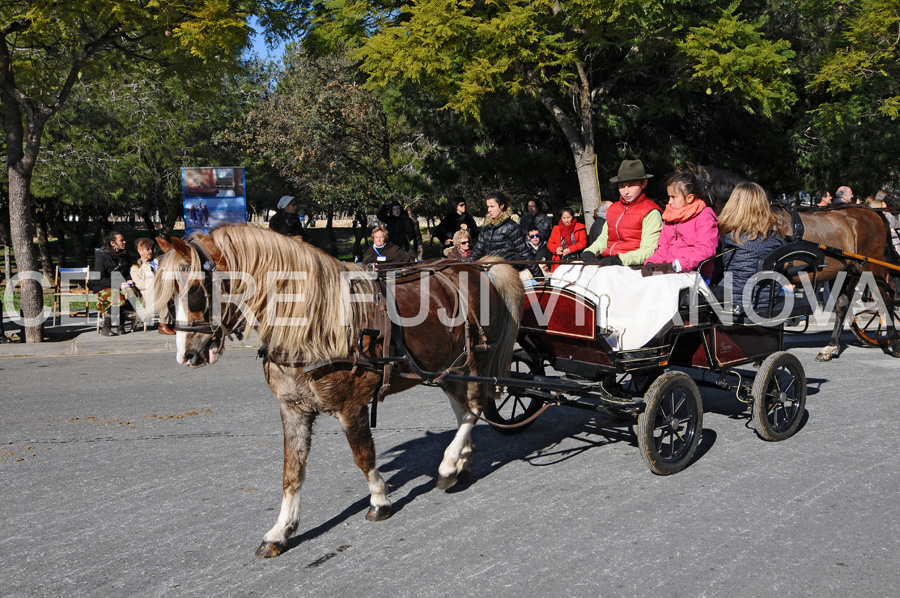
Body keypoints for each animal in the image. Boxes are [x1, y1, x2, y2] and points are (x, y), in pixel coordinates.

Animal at [151, 225, 524, 556]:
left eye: (195, 290)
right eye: (171, 295)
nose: (186, 355)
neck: (311, 324)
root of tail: (477, 267)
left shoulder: (351, 407)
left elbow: (363, 457)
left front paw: (380, 499)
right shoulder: (293, 409)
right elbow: (291, 471)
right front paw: (281, 531)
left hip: (473, 363)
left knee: (474, 409)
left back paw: (448, 466)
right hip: (446, 369)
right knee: (463, 412)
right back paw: (461, 464)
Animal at [684, 162, 896, 364]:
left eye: (689, 190)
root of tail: (872, 212)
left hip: (872, 268)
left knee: (886, 299)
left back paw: (893, 342)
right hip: (847, 271)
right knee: (843, 305)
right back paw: (831, 347)